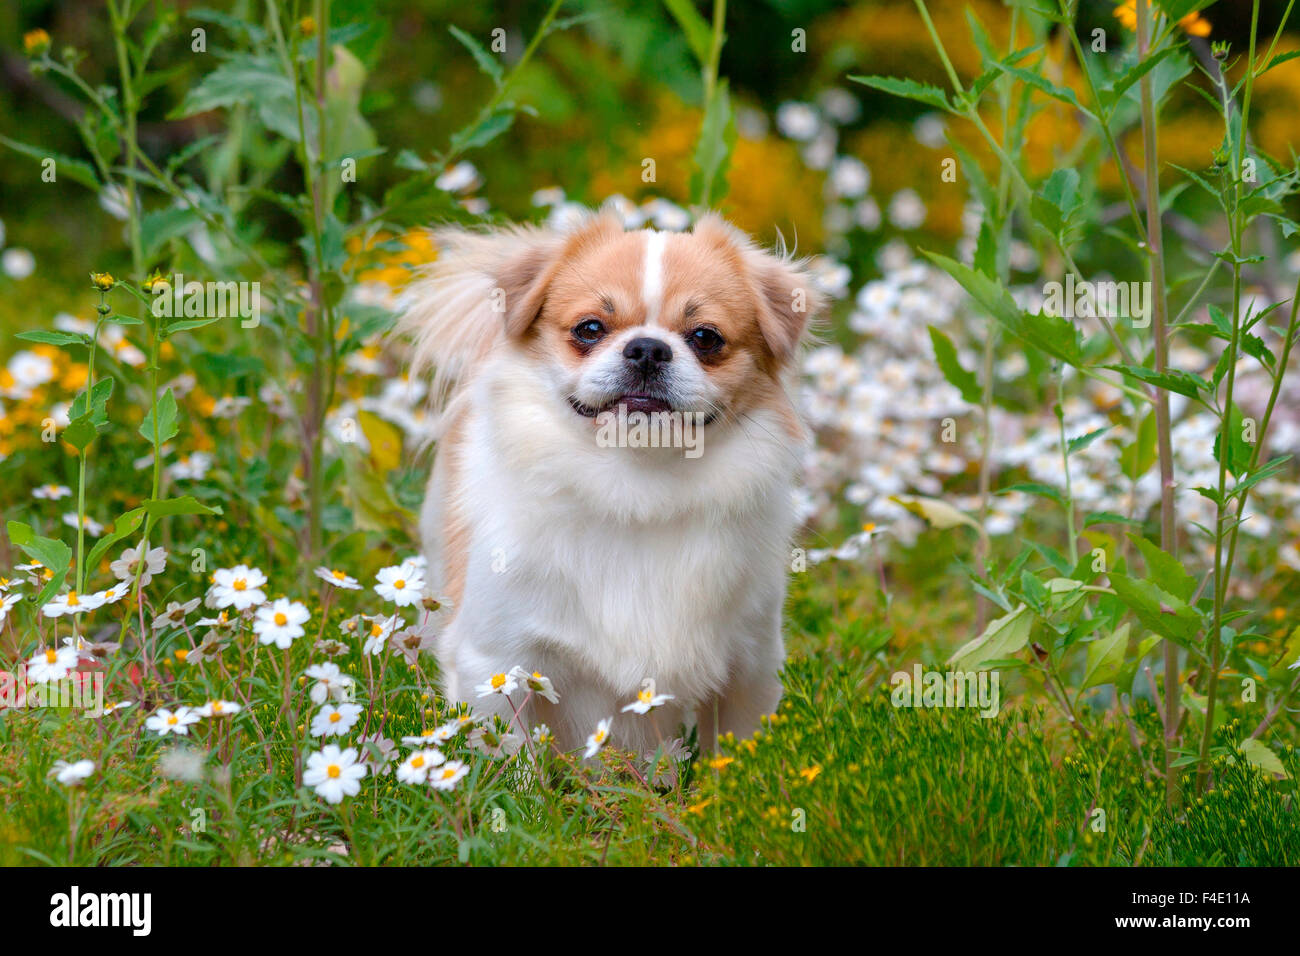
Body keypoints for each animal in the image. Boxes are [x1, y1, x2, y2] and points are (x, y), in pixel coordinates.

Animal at [395, 208, 821, 754]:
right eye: (590, 329)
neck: (636, 481)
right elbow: (510, 760)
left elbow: (737, 752)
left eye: (706, 338)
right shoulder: (494, 664)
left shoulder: (750, 669)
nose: (648, 348)